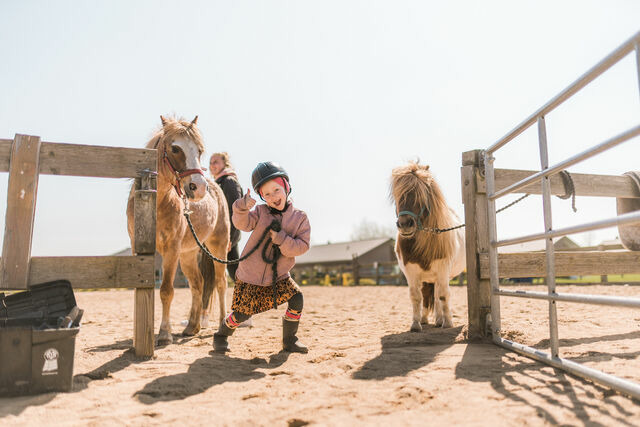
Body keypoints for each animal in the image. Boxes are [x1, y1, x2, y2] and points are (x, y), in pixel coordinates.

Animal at [127, 115, 230, 346]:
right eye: (175, 148)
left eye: (199, 150)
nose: (198, 188)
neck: (156, 202)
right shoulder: (137, 248)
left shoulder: (171, 250)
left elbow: (166, 290)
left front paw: (164, 333)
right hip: (188, 255)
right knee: (198, 284)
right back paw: (192, 327)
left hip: (218, 247)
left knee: (220, 283)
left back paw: (221, 324)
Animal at [390, 162, 464, 332]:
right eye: (398, 196)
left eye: (421, 195)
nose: (405, 224)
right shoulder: (411, 272)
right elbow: (416, 297)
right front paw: (416, 324)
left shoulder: (443, 270)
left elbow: (443, 295)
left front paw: (447, 323)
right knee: (427, 296)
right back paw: (426, 319)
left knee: (437, 296)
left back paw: (439, 320)